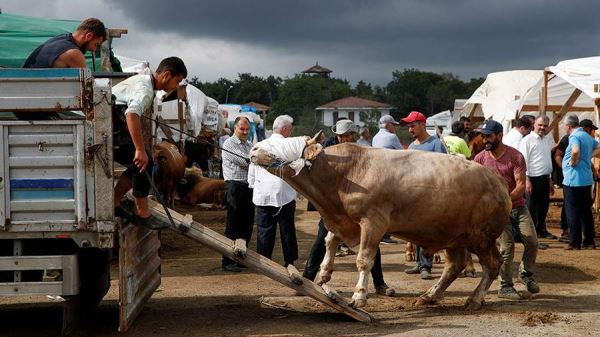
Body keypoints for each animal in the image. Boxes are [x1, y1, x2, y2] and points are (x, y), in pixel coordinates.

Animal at [250, 135, 510, 310]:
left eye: (286, 143)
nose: (253, 148)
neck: (344, 173)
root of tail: (497, 181)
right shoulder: (344, 220)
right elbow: (329, 240)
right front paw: (324, 272)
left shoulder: (373, 222)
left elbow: (364, 260)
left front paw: (359, 296)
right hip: (452, 235)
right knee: (454, 266)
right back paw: (430, 296)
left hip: (481, 237)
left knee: (493, 264)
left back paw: (474, 299)